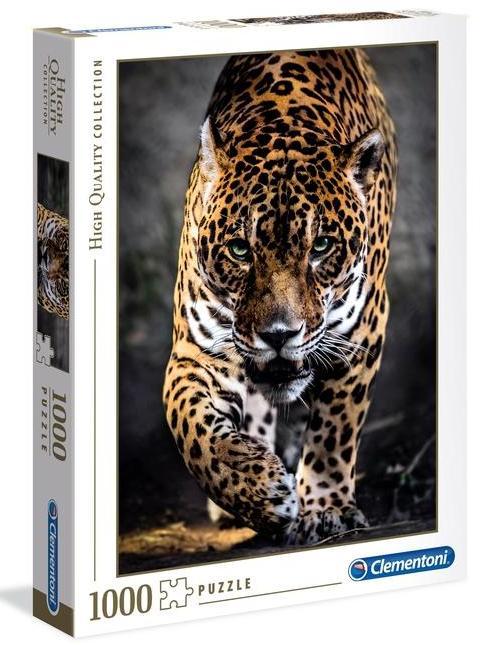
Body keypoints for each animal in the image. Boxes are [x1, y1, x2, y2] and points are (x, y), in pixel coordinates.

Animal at [163, 48, 397, 545]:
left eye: (322, 247)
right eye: (239, 250)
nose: (278, 335)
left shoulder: (361, 334)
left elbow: (334, 429)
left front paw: (325, 509)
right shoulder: (197, 350)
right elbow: (190, 426)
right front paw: (258, 490)